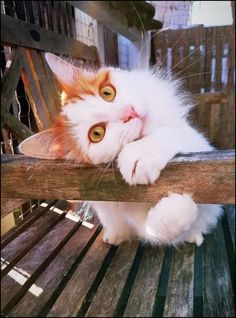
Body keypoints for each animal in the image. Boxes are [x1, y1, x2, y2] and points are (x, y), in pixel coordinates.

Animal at [19, 52, 222, 246]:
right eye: (97, 133)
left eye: (107, 93)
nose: (129, 113)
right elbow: (158, 229)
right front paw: (180, 205)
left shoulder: (199, 144)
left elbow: (172, 132)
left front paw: (141, 154)